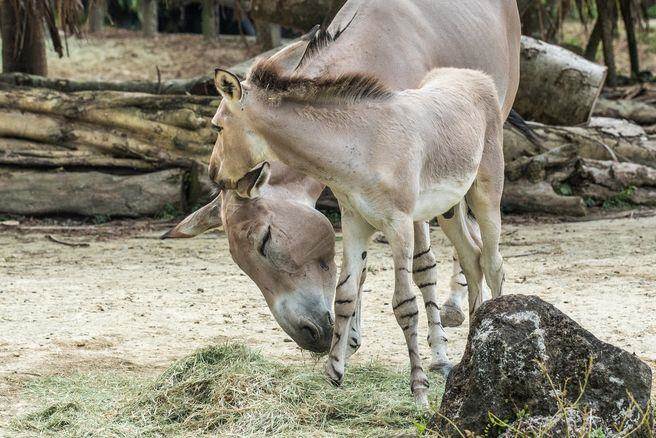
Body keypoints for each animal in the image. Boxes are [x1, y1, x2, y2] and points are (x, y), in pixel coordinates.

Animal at [210, 63, 508, 406]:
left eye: (217, 127)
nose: (214, 176)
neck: (362, 145)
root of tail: (474, 75)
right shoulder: (355, 224)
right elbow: (345, 295)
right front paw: (334, 373)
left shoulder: (399, 225)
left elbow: (405, 304)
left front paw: (419, 389)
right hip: (450, 208)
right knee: (472, 259)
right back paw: (473, 352)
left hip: (486, 193)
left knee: (493, 264)